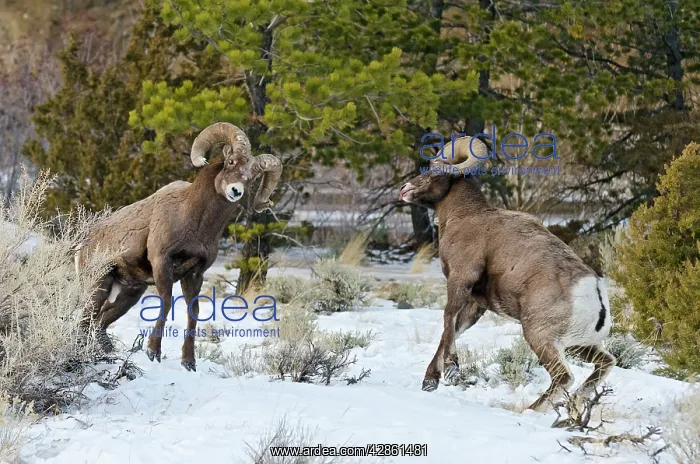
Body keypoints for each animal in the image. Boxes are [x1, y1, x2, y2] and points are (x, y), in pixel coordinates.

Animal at [75, 122, 282, 371]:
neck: (195, 222)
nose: (236, 191)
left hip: (129, 294)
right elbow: (165, 303)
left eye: (252, 178)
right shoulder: (162, 263)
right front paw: (153, 352)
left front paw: (189, 362)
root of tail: (85, 241)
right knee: (85, 319)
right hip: (99, 284)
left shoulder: (194, 274)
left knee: (99, 322)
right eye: (231, 161)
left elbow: (194, 313)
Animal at [400, 136, 615, 411]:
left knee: (563, 376)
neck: (466, 216)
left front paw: (451, 370)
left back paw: (530, 411)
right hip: (579, 344)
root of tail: (594, 291)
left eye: (434, 170)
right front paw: (430, 381)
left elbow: (448, 319)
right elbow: (454, 328)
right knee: (605, 363)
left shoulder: (460, 279)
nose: (404, 188)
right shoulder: (477, 303)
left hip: (540, 337)